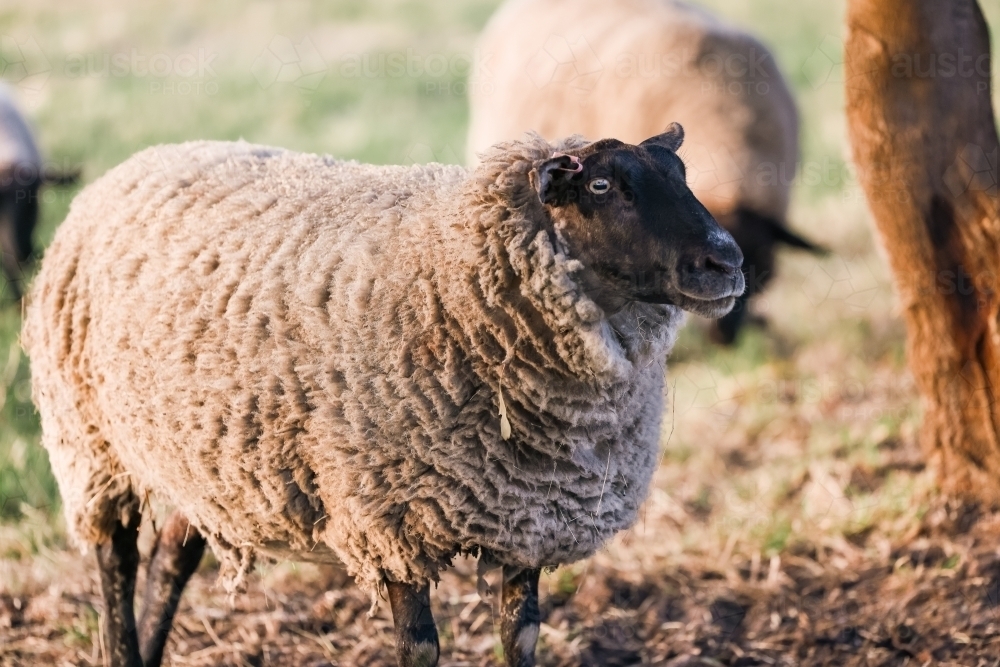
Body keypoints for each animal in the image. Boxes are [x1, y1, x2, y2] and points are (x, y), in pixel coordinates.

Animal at [23, 125, 744, 667]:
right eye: (600, 186)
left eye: (682, 174)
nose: (727, 262)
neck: (448, 273)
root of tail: (130, 165)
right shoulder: (388, 515)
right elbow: (419, 648)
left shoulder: (526, 518)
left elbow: (520, 637)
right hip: (93, 443)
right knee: (115, 559)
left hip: (204, 457)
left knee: (171, 559)